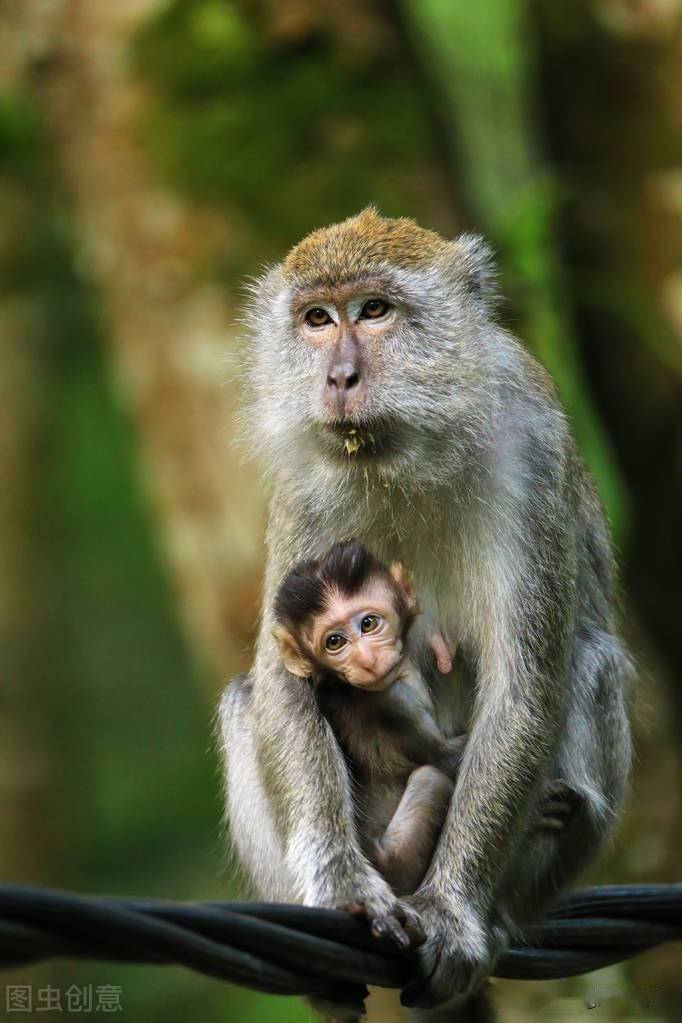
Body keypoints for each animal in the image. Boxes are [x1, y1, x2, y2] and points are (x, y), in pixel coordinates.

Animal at [271, 544, 464, 896]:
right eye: (334, 642)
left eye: (369, 623)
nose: (366, 659)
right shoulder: (394, 703)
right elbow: (443, 757)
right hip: (395, 861)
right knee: (430, 778)